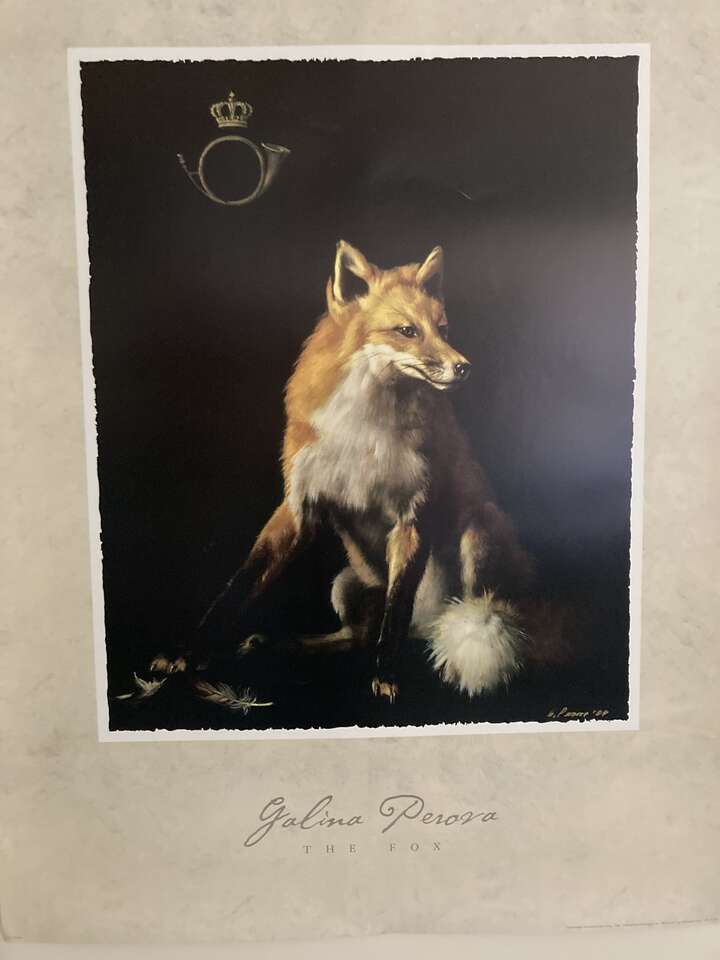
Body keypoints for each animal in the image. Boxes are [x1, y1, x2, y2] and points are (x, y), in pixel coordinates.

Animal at [179, 241, 538, 701]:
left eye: (443, 329)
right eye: (407, 331)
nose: (464, 366)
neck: (365, 427)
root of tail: (428, 627)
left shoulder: (411, 516)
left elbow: (396, 611)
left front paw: (386, 676)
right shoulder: (299, 505)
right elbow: (240, 583)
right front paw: (185, 655)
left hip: (478, 535)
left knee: (463, 617)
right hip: (346, 583)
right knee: (355, 636)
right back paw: (284, 643)